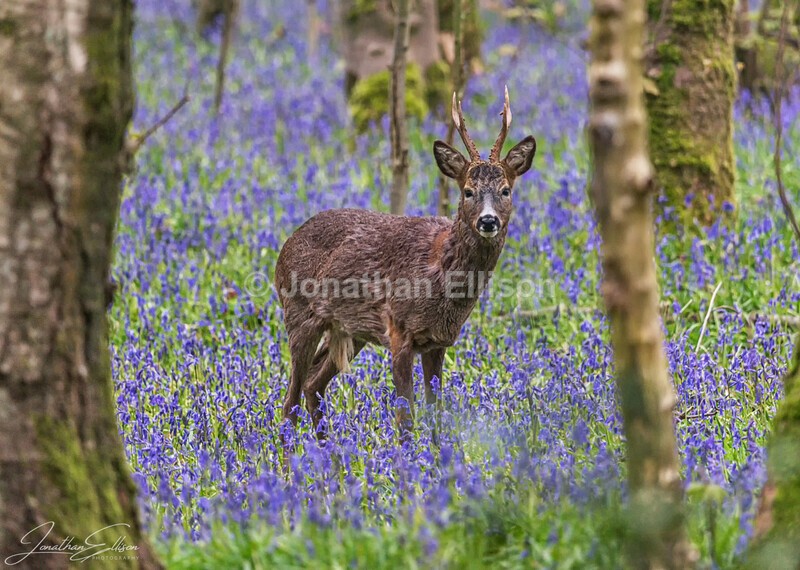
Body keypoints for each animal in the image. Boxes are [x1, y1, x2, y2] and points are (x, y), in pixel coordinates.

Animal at [274, 87, 536, 443]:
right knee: (289, 403)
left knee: (313, 384)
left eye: (506, 190)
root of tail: (284, 247)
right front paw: (408, 457)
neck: (438, 273)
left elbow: (436, 413)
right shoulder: (399, 330)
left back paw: (330, 454)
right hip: (299, 314)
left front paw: (440, 457)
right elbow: (405, 417)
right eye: (468, 191)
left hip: (349, 329)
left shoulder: (438, 341)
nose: (488, 221)